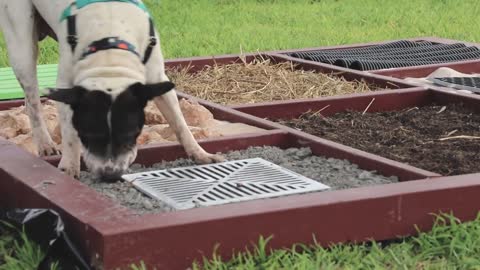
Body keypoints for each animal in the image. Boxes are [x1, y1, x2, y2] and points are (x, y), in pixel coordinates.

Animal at [0, 1, 224, 180]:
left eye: (131, 134)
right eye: (88, 134)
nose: (109, 175)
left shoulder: (159, 80)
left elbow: (180, 124)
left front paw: (199, 153)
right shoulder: (67, 87)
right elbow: (70, 134)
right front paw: (70, 167)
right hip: (21, 45)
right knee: (32, 100)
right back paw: (45, 143)